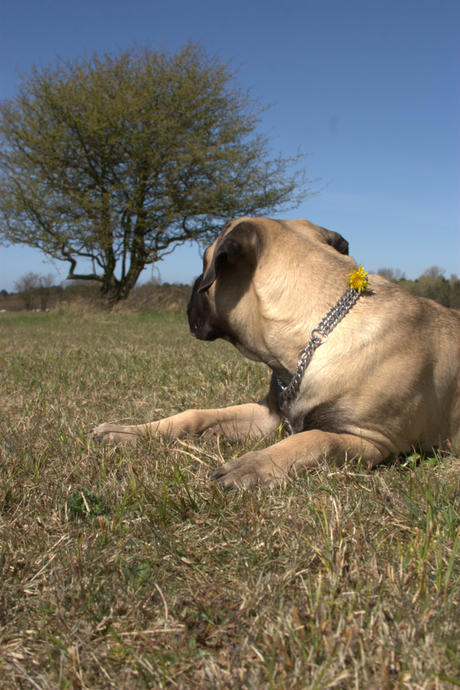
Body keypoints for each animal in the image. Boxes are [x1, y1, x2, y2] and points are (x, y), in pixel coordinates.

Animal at [90, 218, 460, 486]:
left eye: (204, 263)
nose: (191, 292)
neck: (315, 338)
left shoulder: (371, 441)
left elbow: (314, 440)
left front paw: (252, 464)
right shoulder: (269, 413)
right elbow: (195, 415)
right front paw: (129, 432)